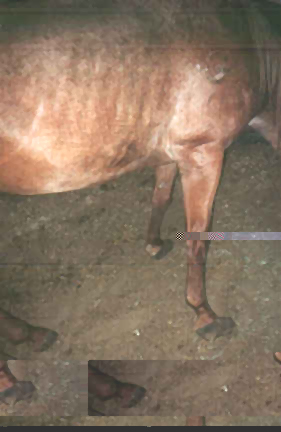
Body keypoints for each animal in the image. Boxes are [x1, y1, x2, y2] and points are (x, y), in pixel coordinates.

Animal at [0, 0, 278, 348]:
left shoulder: (171, 153)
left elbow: (161, 197)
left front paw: (154, 244)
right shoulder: (203, 152)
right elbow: (198, 238)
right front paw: (205, 315)